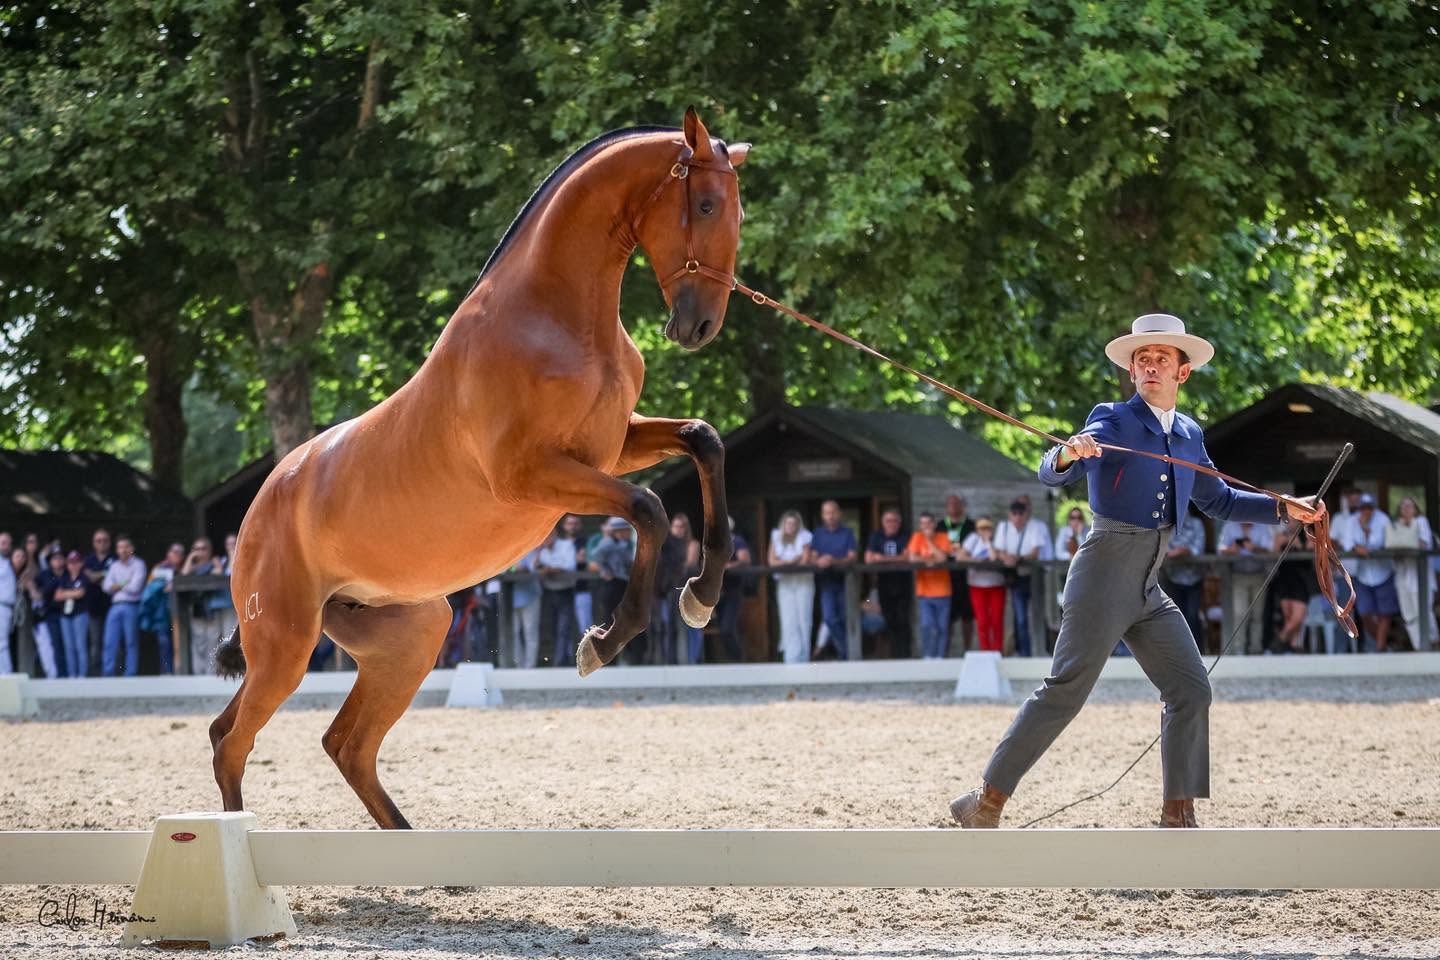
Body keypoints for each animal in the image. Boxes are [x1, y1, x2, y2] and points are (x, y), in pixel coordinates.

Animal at [208, 108, 748, 829]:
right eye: (707, 204)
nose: (700, 325)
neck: (554, 318)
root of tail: (256, 517)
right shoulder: (533, 476)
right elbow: (650, 510)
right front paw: (604, 642)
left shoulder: (612, 448)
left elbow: (704, 441)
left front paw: (701, 594)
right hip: (283, 648)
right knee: (231, 739)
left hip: (410, 637)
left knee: (347, 744)